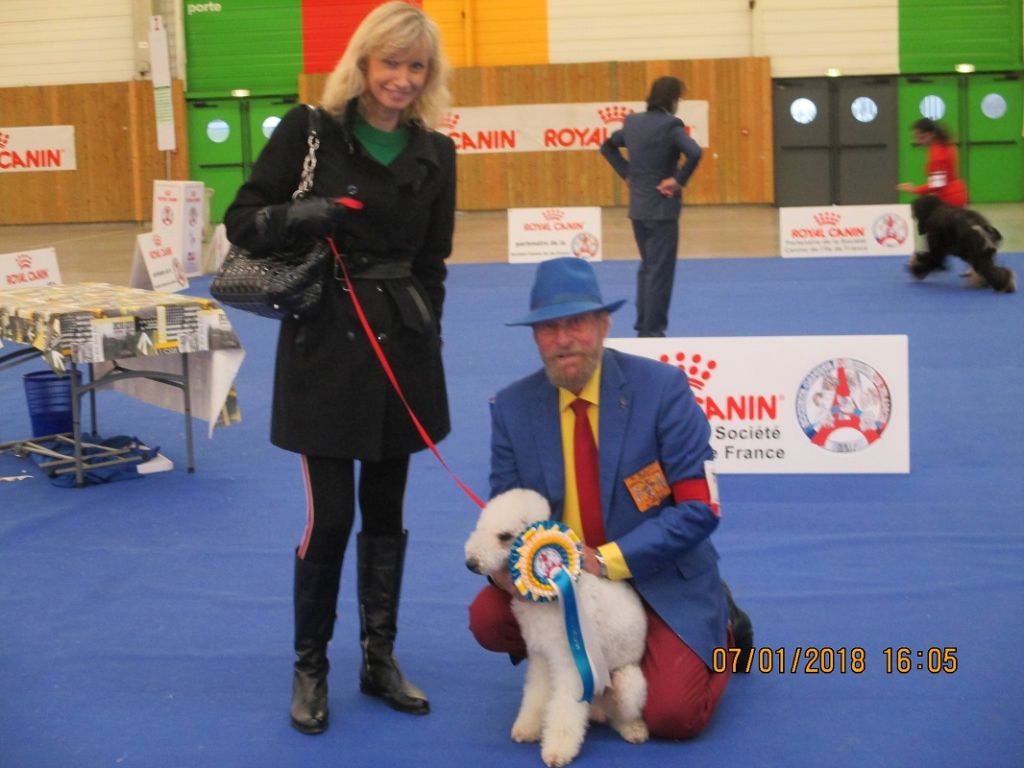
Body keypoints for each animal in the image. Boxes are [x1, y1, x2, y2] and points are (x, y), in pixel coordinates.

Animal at [464, 489, 647, 765]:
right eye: (480, 526)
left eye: (504, 536)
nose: (471, 563)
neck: (551, 597)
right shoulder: (541, 656)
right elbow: (537, 695)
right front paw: (528, 728)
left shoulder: (570, 664)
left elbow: (565, 708)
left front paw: (557, 751)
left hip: (628, 681)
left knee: (623, 712)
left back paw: (634, 729)